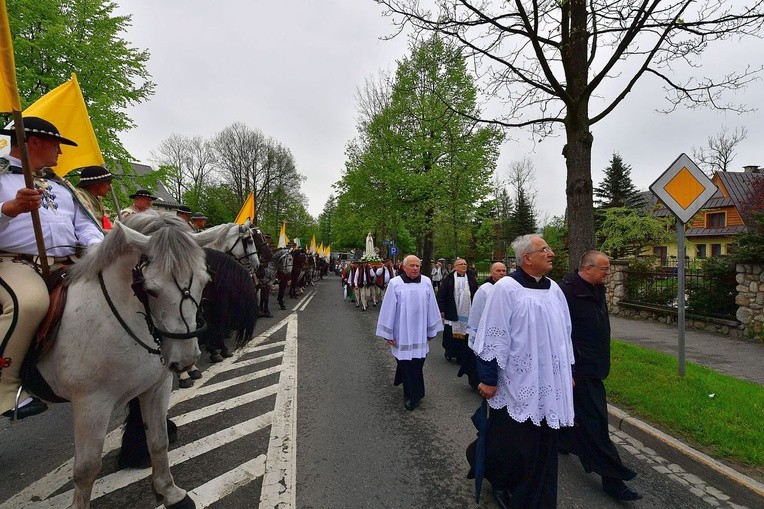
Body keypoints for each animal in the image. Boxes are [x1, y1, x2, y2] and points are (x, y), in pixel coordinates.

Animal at [35, 214, 209, 508]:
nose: (184, 361)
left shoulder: (156, 388)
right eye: (150, 289)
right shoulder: (91, 404)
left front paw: (170, 493)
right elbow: (86, 470)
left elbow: (158, 441)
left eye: (205, 281)